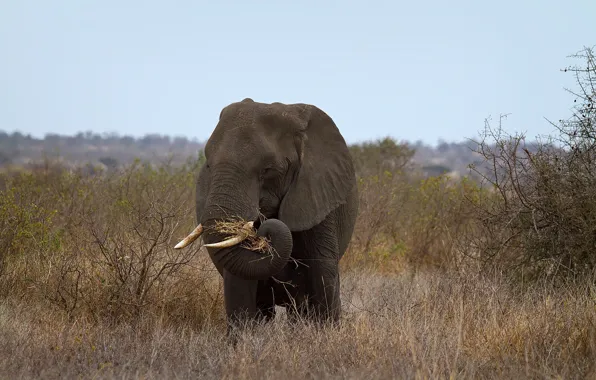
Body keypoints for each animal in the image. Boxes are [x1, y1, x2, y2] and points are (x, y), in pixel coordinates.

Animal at [172, 98, 358, 332]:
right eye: (208, 165)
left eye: (268, 170)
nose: (263, 231)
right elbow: (239, 283)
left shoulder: (319, 195)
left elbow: (323, 272)